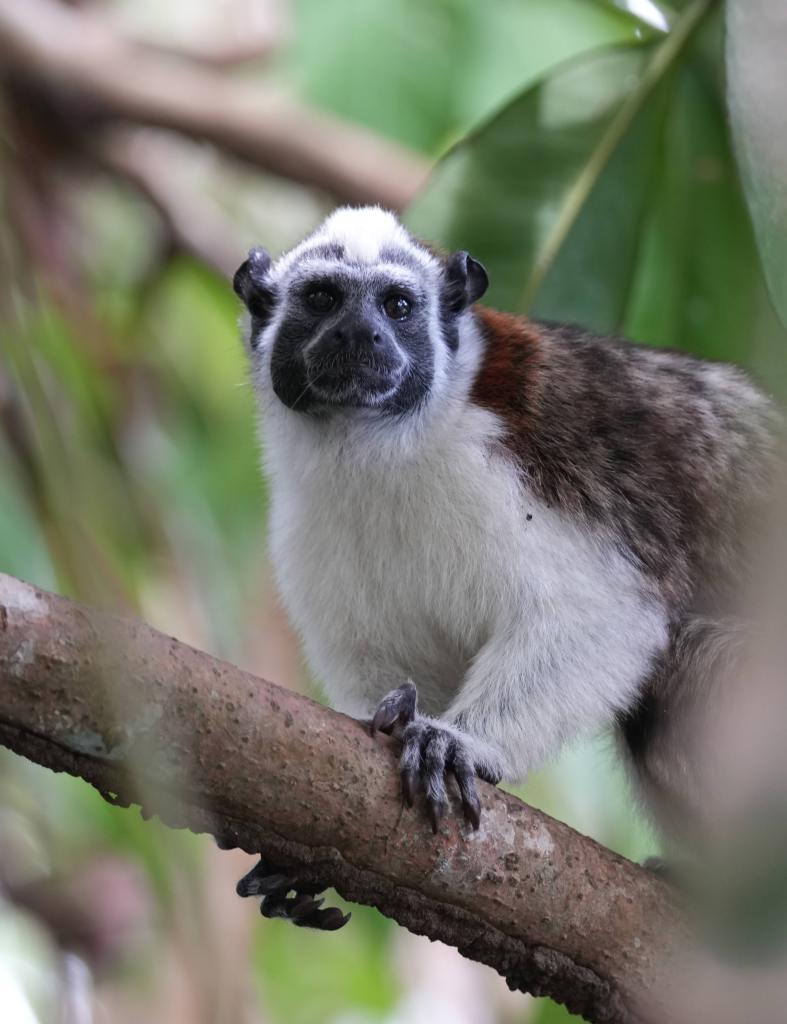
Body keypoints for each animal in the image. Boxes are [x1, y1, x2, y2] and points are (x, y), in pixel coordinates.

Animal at [230, 205, 779, 928]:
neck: (380, 447)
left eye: (397, 306)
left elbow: (601, 614)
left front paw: (457, 744)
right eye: (322, 298)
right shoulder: (307, 529)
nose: (360, 333)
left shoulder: (519, 468)